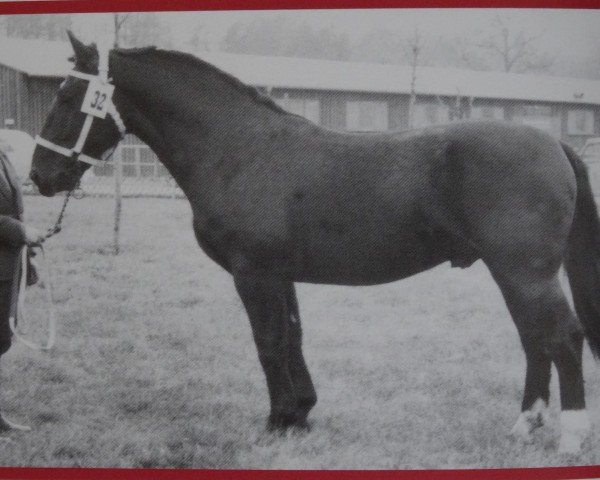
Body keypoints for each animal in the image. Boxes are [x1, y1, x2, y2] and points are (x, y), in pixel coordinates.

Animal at [29, 32, 600, 454]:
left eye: (66, 97)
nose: (40, 176)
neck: (238, 149)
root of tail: (554, 142)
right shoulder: (280, 275)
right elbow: (293, 337)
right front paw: (301, 415)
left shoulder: (254, 273)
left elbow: (268, 341)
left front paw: (278, 421)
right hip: (514, 274)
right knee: (534, 340)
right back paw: (525, 426)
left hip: (525, 273)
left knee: (562, 338)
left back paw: (571, 436)